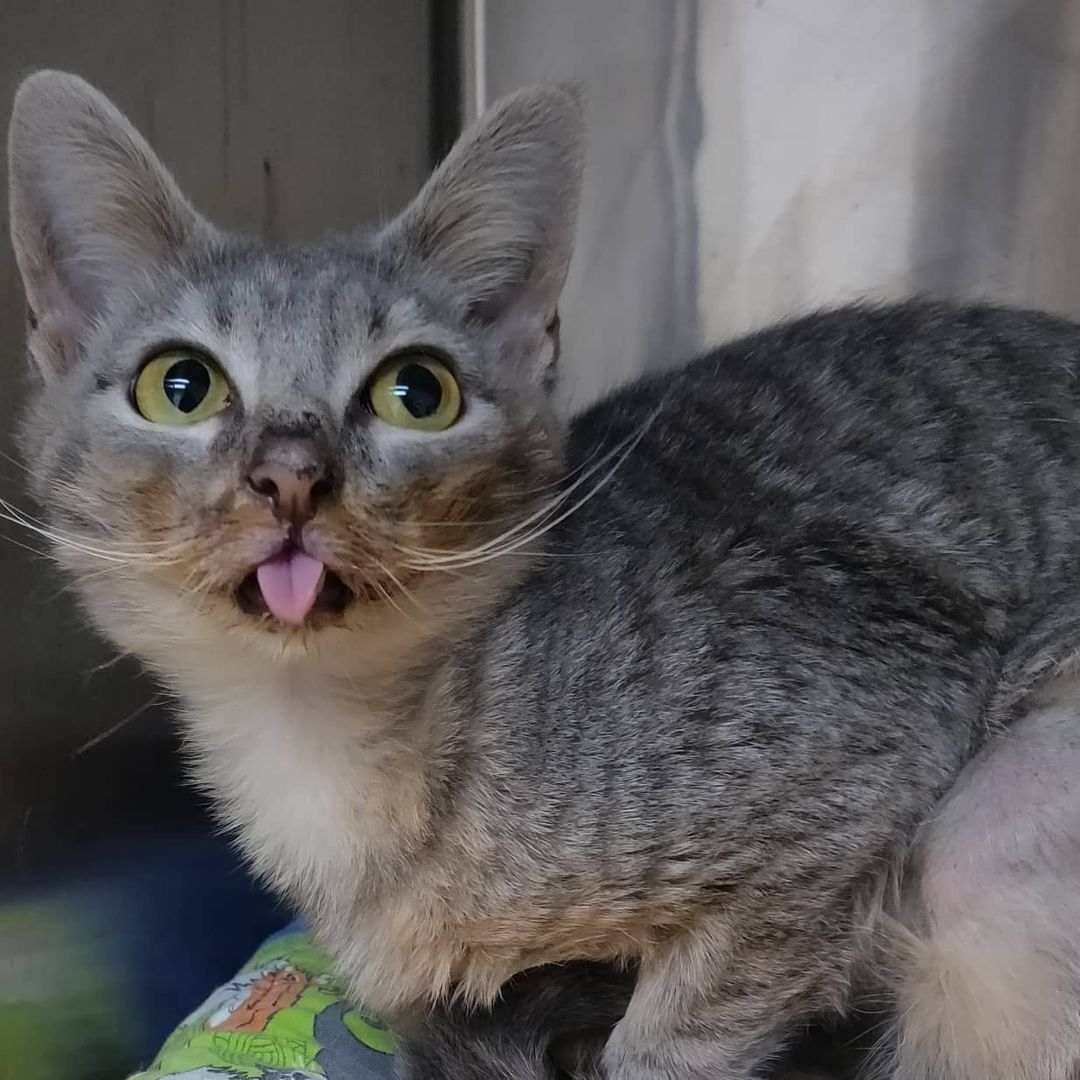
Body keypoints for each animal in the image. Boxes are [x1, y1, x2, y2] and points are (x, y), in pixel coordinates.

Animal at [6, 67, 1080, 1080]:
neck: (323, 745)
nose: (293, 474)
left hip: (984, 832)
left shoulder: (857, 756)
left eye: (418, 391)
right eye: (180, 386)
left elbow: (680, 1031)